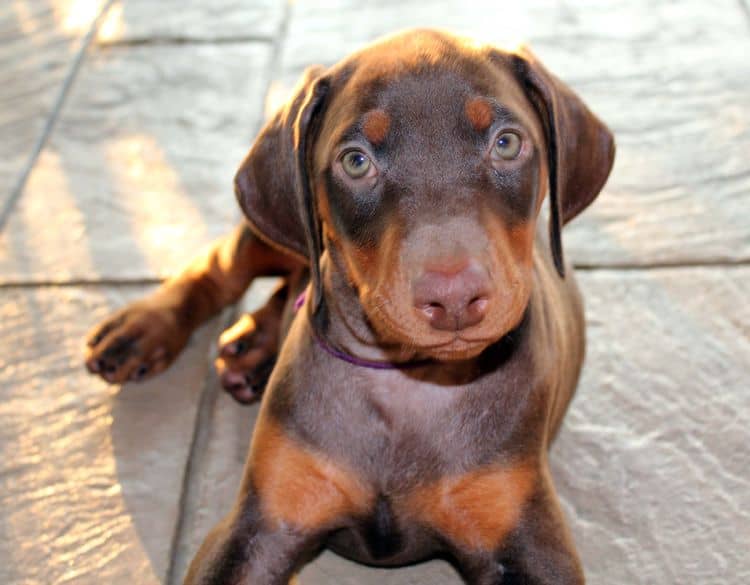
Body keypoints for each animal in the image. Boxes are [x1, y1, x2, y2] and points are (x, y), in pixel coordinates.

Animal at [86, 30, 616, 584]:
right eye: (356, 161)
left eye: (507, 142)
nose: (454, 299)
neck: (406, 382)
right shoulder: (259, 524)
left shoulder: (525, 536)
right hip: (273, 235)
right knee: (226, 265)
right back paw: (141, 329)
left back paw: (253, 346)